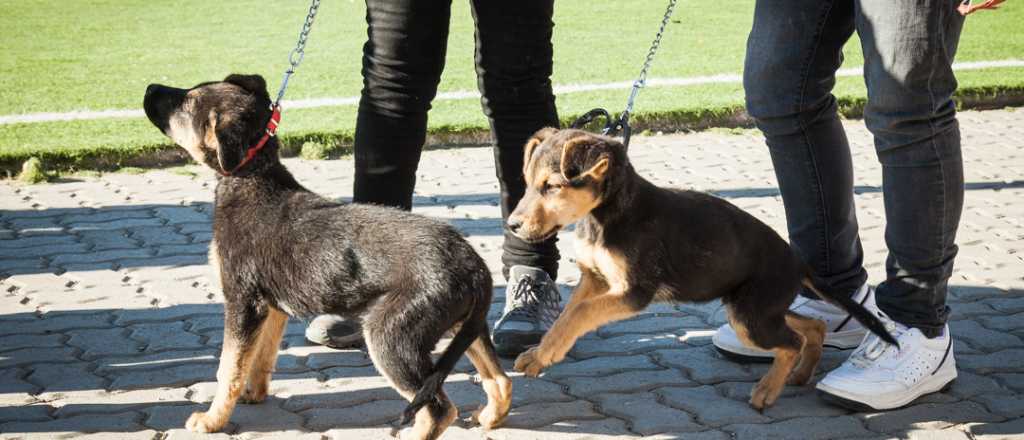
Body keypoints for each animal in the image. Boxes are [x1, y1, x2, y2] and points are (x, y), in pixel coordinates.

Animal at [142, 73, 509, 437]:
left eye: (189, 103)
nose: (149, 88)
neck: (253, 175)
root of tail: (473, 265)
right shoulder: (271, 307)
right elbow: (260, 357)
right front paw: (253, 394)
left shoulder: (242, 301)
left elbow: (228, 367)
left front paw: (211, 421)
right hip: (464, 325)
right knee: (500, 380)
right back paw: (490, 417)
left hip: (391, 336)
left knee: (438, 409)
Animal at [505, 128, 897, 411]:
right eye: (528, 184)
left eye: (551, 186)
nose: (512, 226)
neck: (609, 213)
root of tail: (799, 263)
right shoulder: (595, 279)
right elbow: (566, 316)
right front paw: (539, 354)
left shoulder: (633, 291)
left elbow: (579, 314)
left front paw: (545, 353)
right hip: (753, 307)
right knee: (812, 326)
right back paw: (800, 374)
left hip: (751, 314)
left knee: (791, 342)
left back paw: (767, 392)